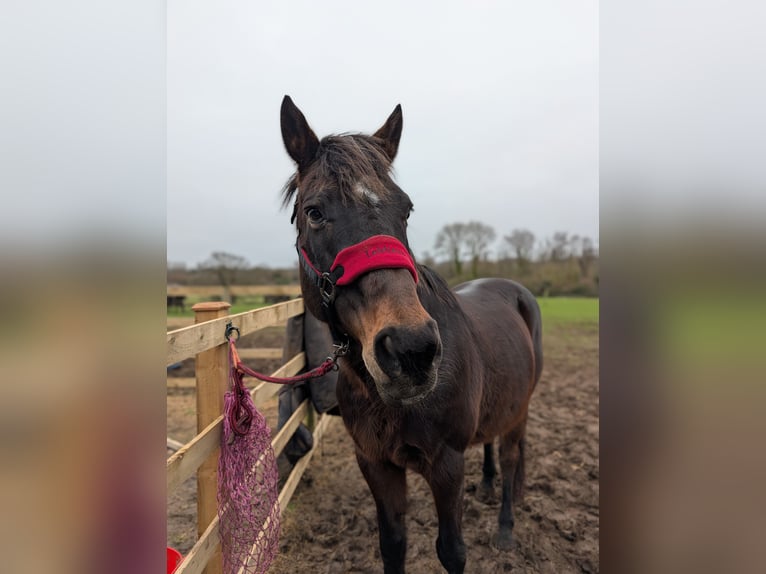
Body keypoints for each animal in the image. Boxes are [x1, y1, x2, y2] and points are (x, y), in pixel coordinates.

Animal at [279, 95, 543, 574]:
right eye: (315, 212)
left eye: (406, 209)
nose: (412, 350)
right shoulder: (376, 464)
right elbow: (393, 543)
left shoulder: (447, 464)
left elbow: (452, 550)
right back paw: (488, 486)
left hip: (520, 412)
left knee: (513, 457)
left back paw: (505, 529)